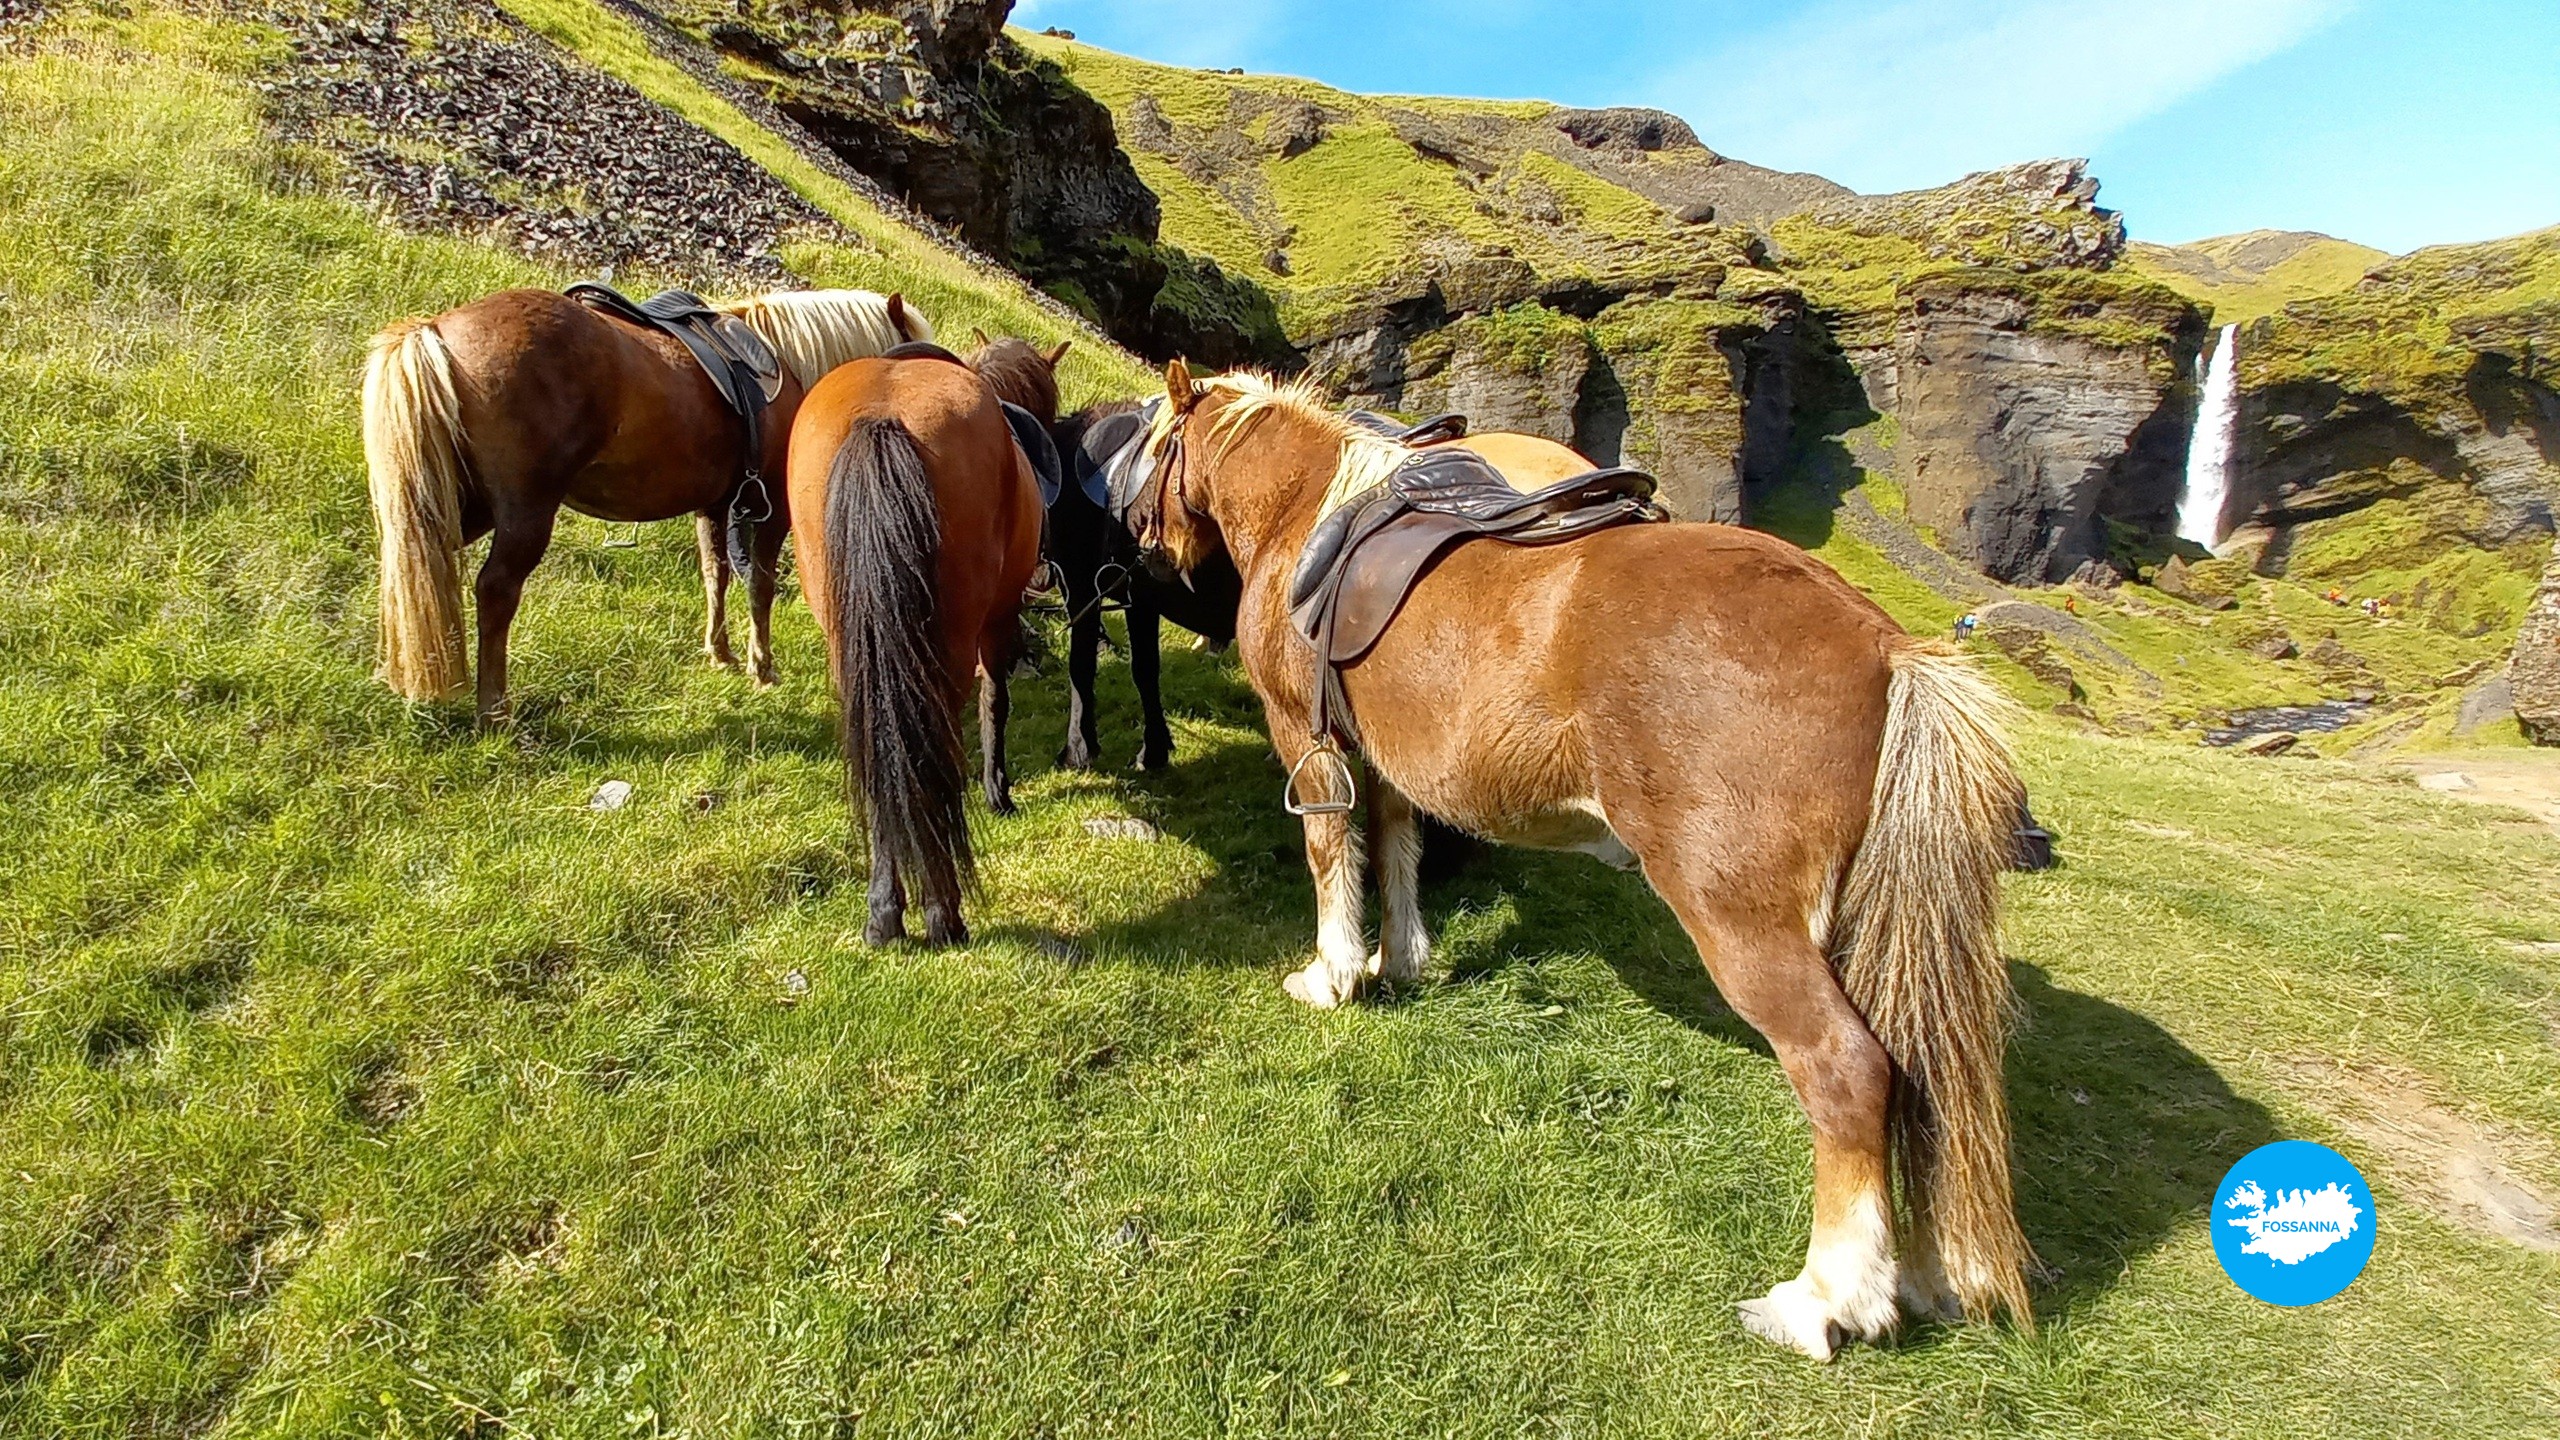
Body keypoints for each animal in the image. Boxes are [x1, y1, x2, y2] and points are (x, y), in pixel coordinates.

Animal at [362, 286, 932, 722]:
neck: (790, 366)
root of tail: (436, 331)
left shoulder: (714, 505)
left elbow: (715, 574)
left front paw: (720, 653)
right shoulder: (771, 511)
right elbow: (760, 585)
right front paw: (761, 666)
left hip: (453, 506)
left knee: (415, 568)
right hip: (525, 513)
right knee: (496, 591)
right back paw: (494, 707)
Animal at [787, 344, 1046, 947]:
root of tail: (882, 417)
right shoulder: (1000, 620)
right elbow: (996, 702)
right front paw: (998, 791)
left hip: (854, 649)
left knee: (883, 750)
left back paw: (885, 912)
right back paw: (942, 911)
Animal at [1124, 363, 2034, 1359]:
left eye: (1160, 444)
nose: (1147, 546)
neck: (1310, 512)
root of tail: (1885, 645)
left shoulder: (1309, 741)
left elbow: (1334, 855)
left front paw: (1331, 974)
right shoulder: (1393, 758)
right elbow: (1399, 849)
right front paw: (1398, 961)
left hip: (1743, 925)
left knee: (1847, 1074)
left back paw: (1823, 1300)